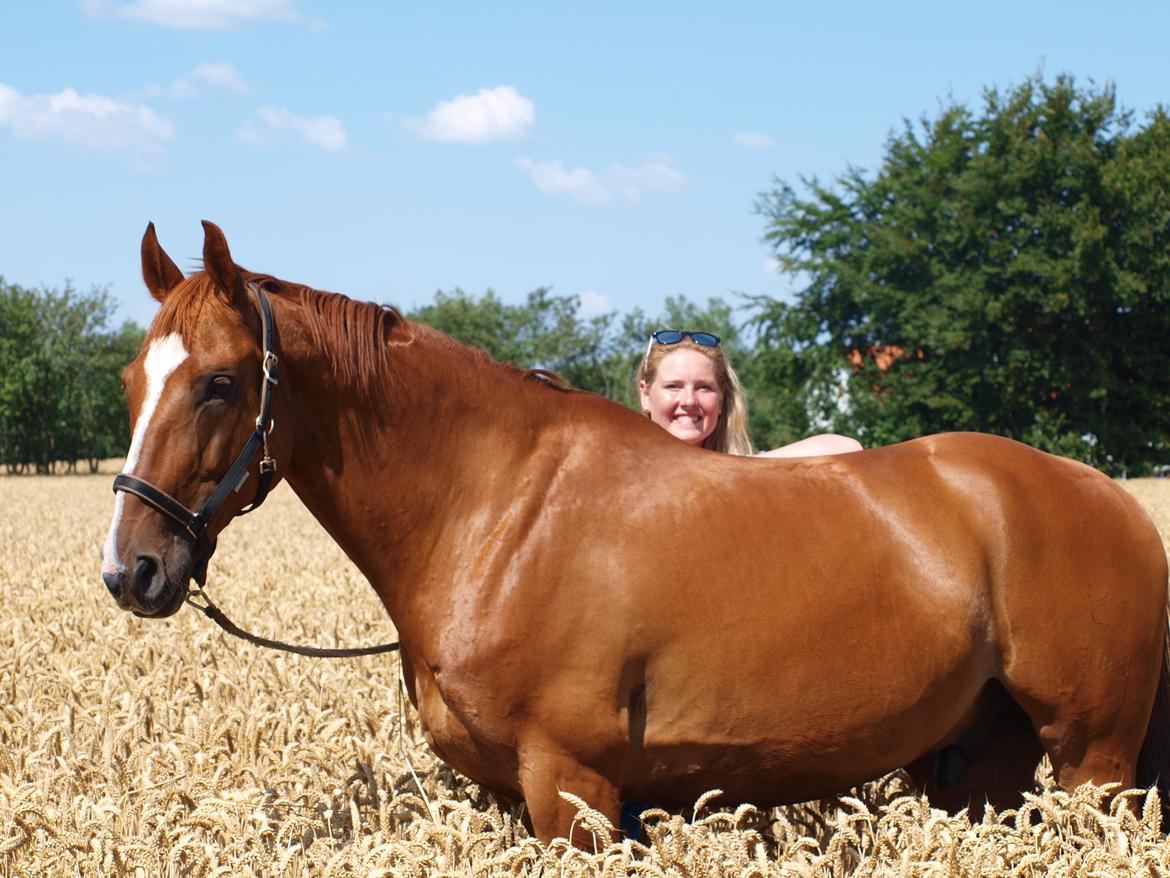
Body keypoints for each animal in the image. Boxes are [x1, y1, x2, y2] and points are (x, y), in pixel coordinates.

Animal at [102, 221, 1170, 847]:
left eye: (220, 383)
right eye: (130, 380)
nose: (131, 569)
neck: (497, 513)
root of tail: (1107, 494)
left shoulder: (570, 788)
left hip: (1094, 766)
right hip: (986, 766)